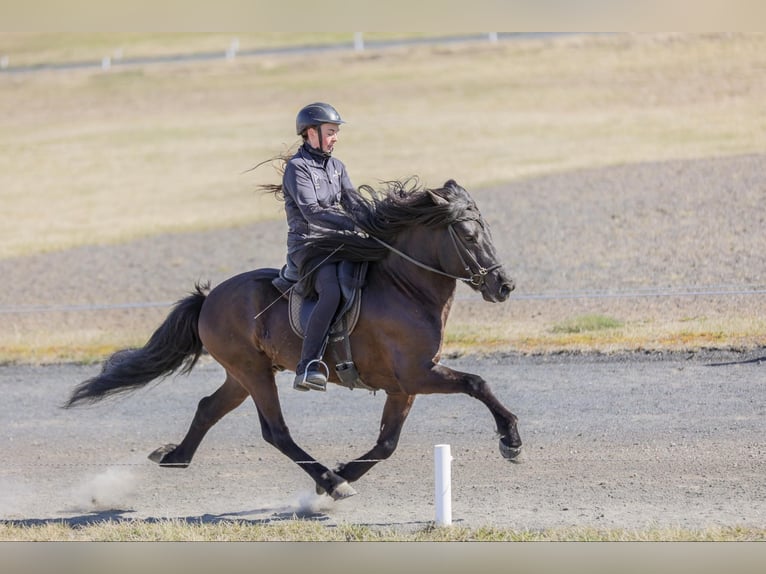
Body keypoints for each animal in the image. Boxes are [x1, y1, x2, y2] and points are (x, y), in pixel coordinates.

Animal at [65, 178, 522, 501]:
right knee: (275, 432)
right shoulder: (417, 374)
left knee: (209, 408)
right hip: (253, 371)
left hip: (242, 374)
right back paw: (330, 482)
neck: (405, 289)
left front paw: (343, 472)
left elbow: (387, 443)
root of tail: (209, 297)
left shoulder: (404, 385)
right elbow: (477, 383)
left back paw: (176, 456)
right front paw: (511, 441)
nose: (504, 285)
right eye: (468, 235)